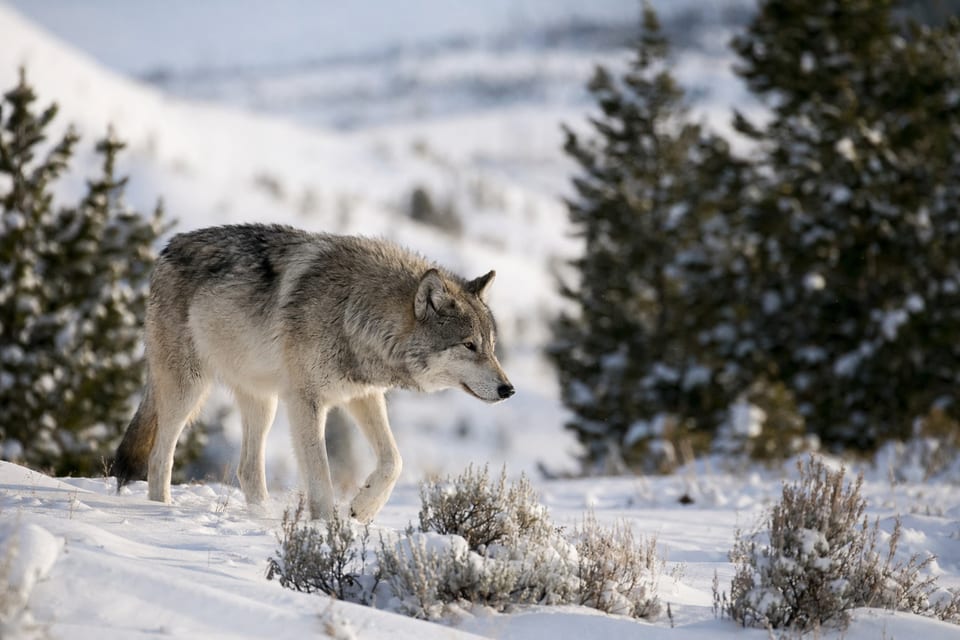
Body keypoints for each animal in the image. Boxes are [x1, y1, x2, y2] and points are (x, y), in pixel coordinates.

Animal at [111, 223, 514, 522]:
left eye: (492, 346)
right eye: (469, 345)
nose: (508, 389)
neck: (355, 311)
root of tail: (166, 248)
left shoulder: (363, 395)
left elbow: (393, 461)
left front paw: (361, 510)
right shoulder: (306, 401)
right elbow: (320, 476)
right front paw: (325, 531)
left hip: (263, 402)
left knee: (247, 471)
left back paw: (262, 518)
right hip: (189, 390)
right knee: (159, 458)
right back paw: (161, 510)